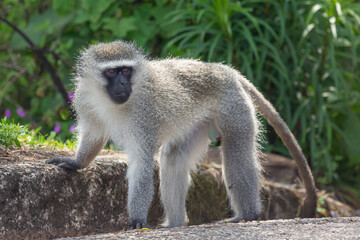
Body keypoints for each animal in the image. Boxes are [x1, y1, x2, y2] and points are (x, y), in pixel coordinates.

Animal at [46, 40, 316, 229]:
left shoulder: (143, 116)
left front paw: (136, 219)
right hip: (196, 123)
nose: (123, 84)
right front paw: (76, 162)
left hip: (233, 107)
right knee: (174, 159)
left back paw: (247, 215)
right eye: (112, 72)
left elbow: (141, 164)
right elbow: (93, 135)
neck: (109, 101)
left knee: (236, 150)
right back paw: (174, 224)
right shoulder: (84, 99)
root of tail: (223, 70)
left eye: (126, 71)